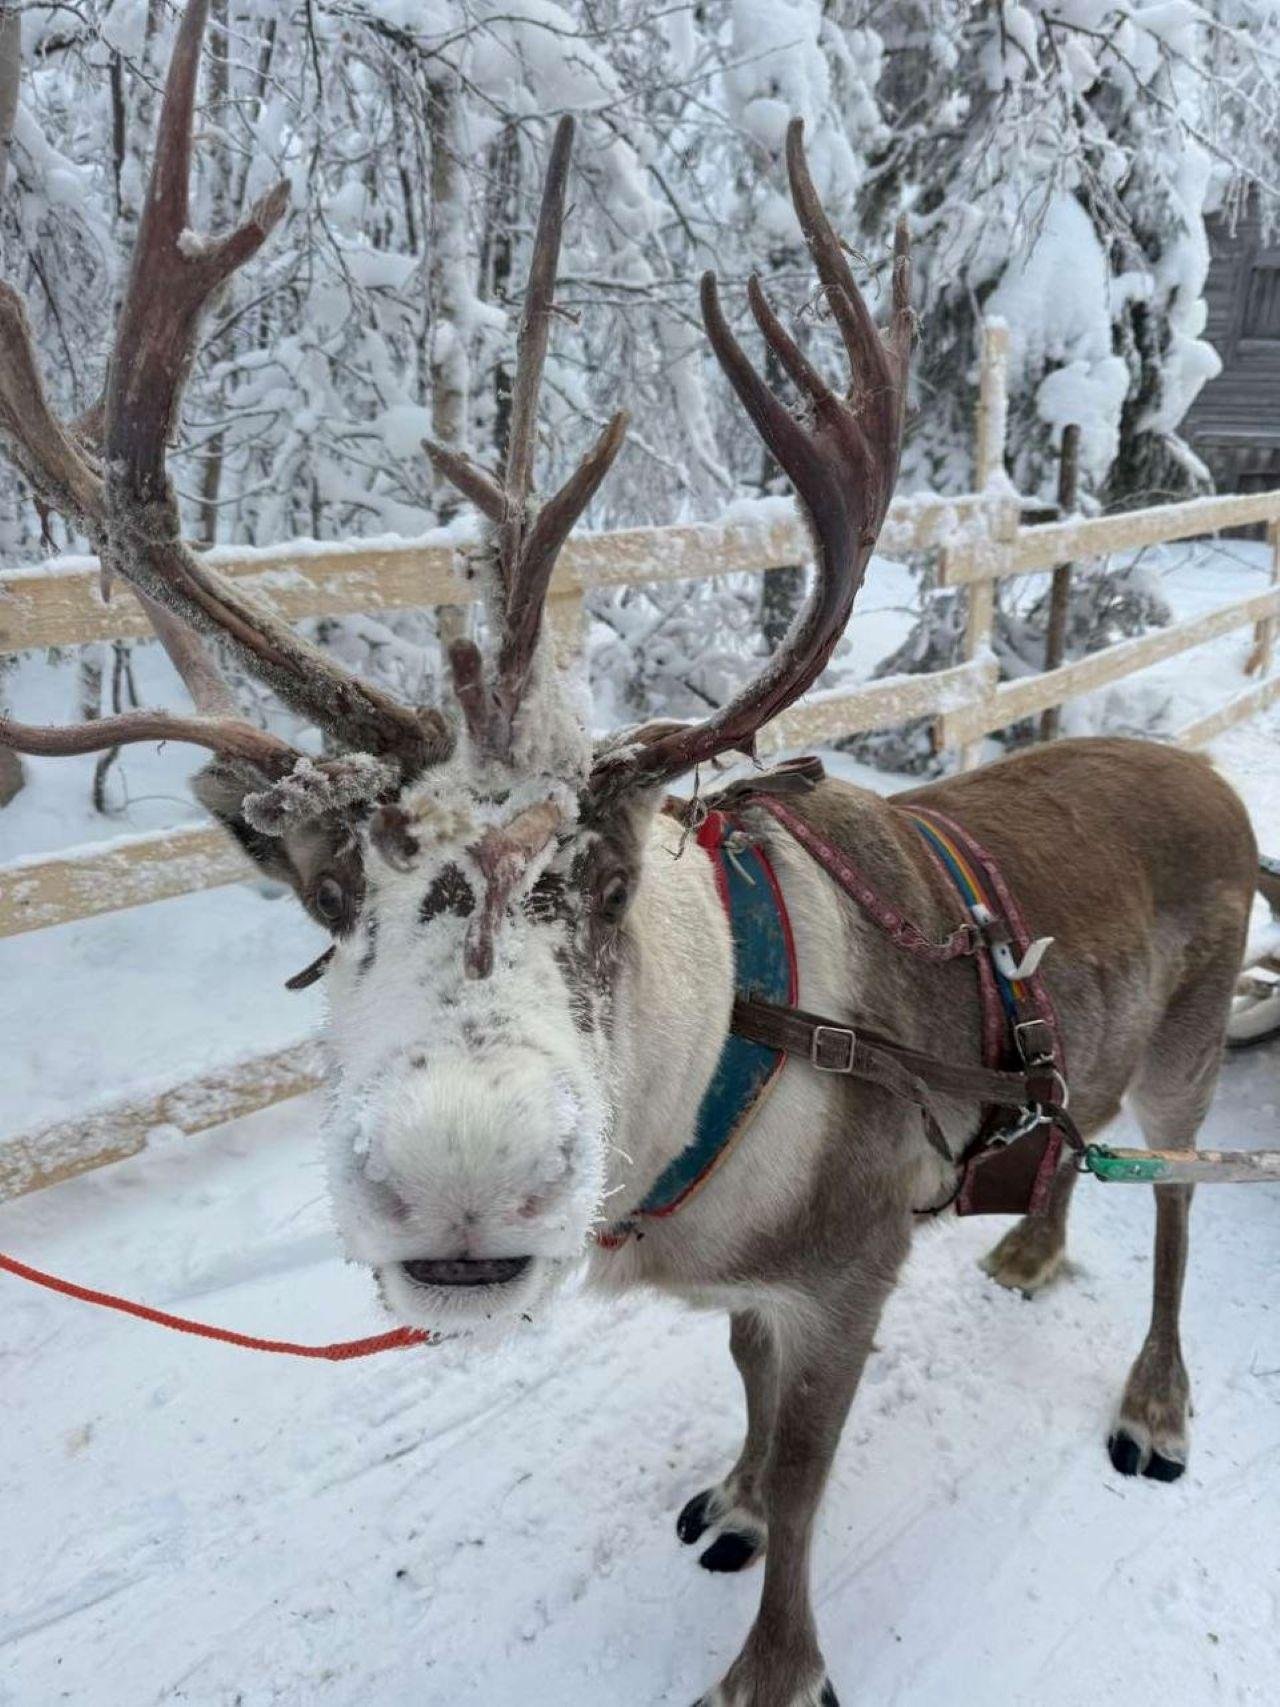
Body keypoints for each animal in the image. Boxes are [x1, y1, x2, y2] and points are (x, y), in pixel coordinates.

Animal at [0, 5, 1260, 1703]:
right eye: (333, 892)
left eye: (599, 877)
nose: (465, 1182)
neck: (700, 1114)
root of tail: (1205, 773)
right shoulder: (752, 1286)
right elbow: (745, 1388)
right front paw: (728, 1495)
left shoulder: (852, 1263)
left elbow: (812, 1468)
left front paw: (773, 1659)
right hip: (1094, 1057)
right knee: (1076, 1130)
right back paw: (1034, 1242)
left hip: (1191, 1055)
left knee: (1179, 1196)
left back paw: (1157, 1402)